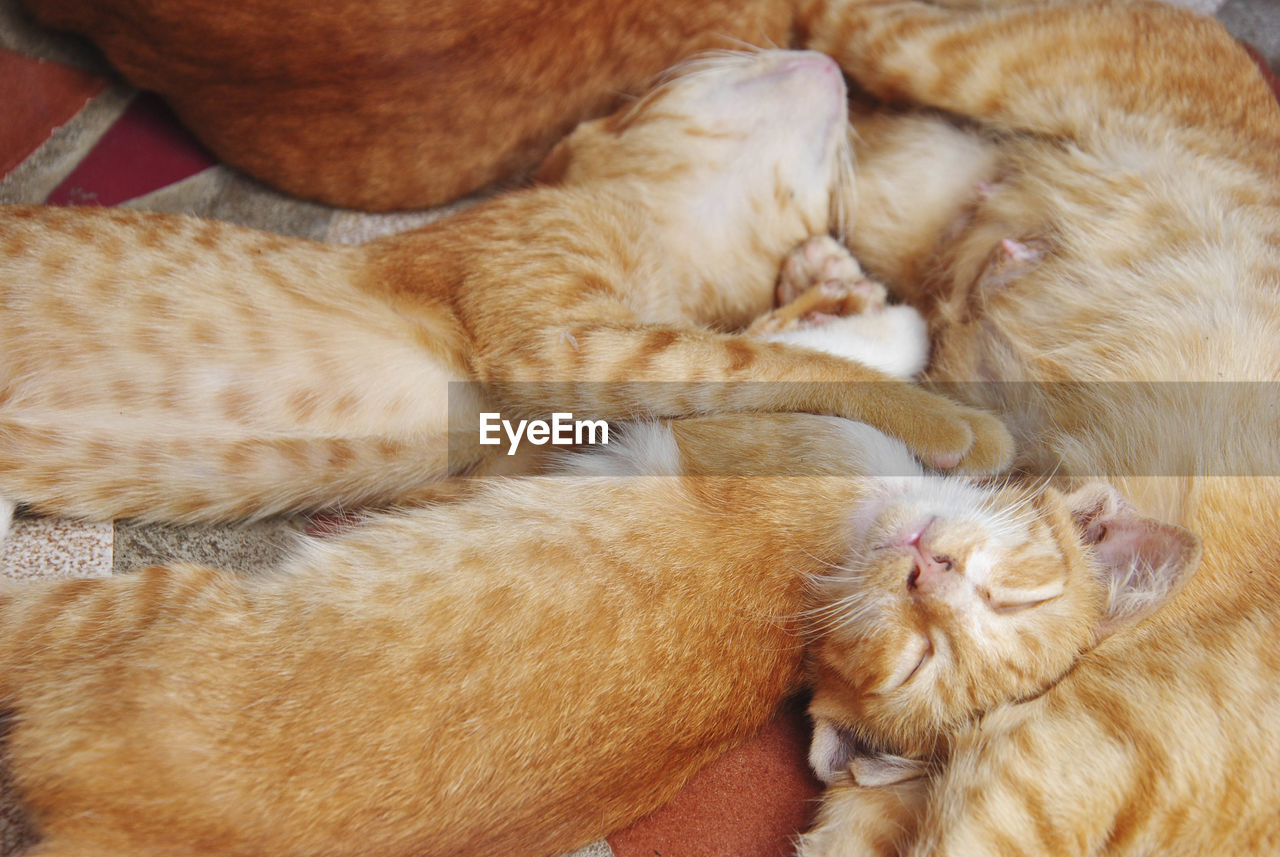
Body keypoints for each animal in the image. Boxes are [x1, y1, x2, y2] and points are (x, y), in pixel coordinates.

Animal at [0, 48, 1008, 537]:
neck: (653, 239)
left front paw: (850, 303)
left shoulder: (530, 445)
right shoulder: (557, 343)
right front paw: (946, 413)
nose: (825, 58)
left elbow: (753, 349)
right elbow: (750, 356)